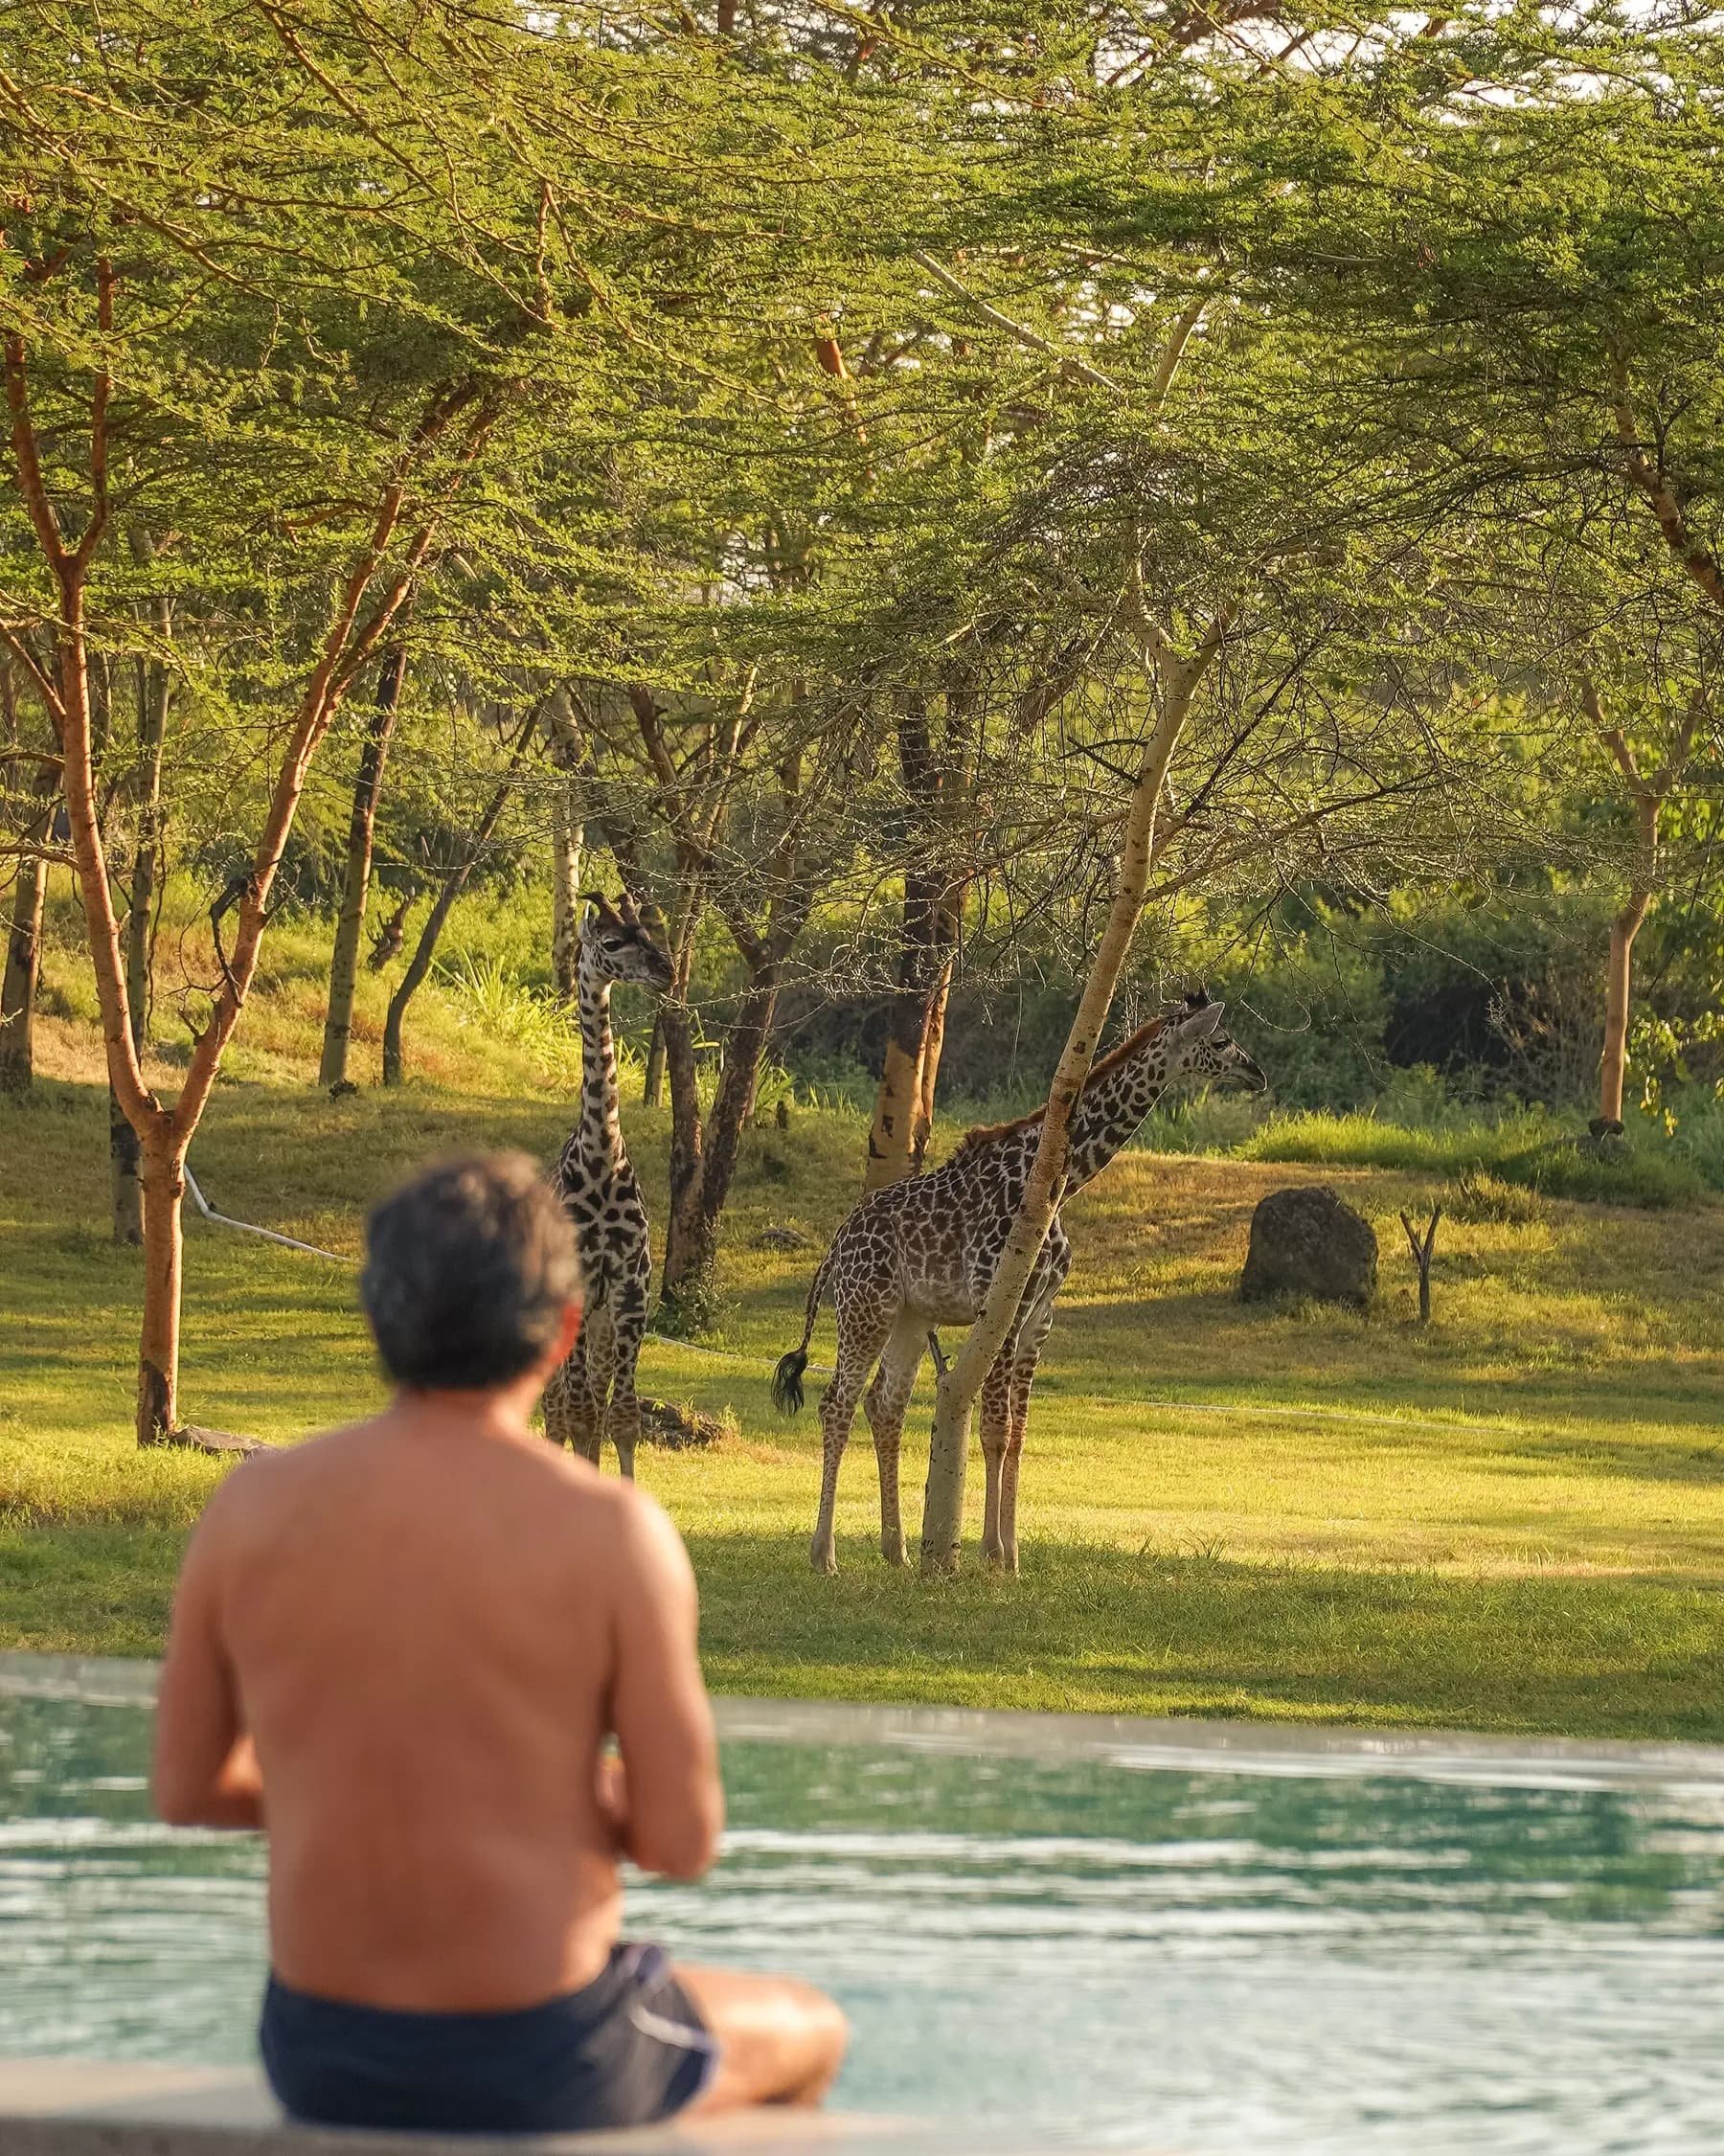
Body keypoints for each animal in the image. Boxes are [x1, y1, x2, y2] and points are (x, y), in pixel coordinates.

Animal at [774, 995, 1265, 1572]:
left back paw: (897, 1551)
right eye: (1221, 1041)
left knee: (884, 1405)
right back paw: (823, 1555)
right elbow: (994, 1426)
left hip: (910, 1317)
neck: (1059, 1184)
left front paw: (1011, 1556)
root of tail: (834, 1247)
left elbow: (1019, 1430)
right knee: (837, 1402)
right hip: (865, 1307)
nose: (1257, 1073)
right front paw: (991, 1553)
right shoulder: (1003, 1302)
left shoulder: (1039, 1315)